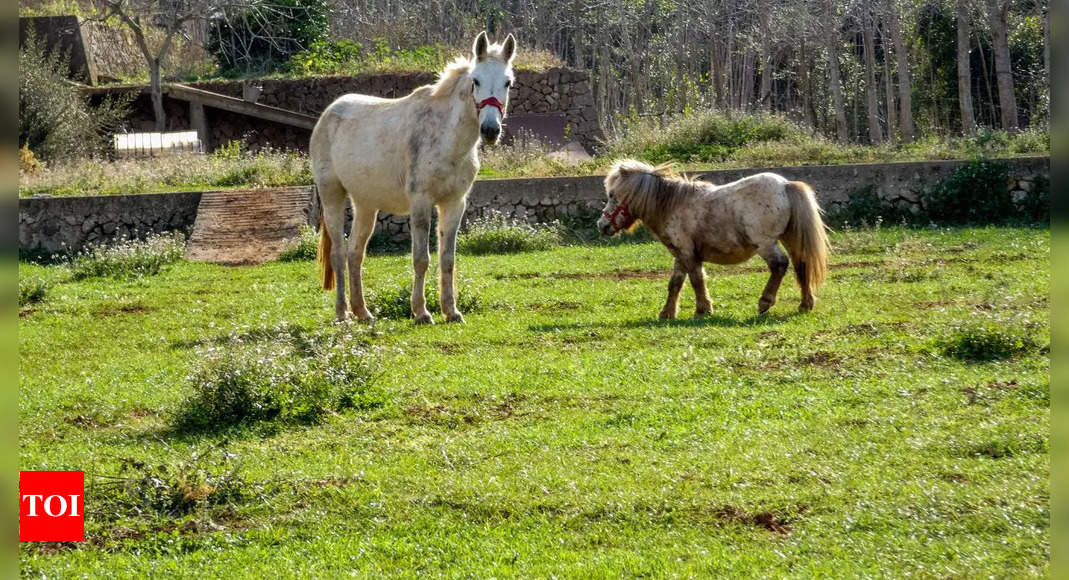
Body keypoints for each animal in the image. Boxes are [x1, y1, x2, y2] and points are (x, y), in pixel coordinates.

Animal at [312, 31, 515, 324]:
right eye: (475, 81)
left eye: (507, 83)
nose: (490, 130)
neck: (447, 138)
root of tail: (328, 113)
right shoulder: (421, 202)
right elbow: (421, 259)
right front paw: (421, 312)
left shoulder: (454, 204)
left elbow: (447, 258)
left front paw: (451, 311)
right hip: (332, 196)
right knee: (338, 253)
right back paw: (343, 313)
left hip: (365, 205)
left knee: (355, 254)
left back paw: (363, 312)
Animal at [598, 160, 829, 318]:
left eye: (612, 195)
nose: (602, 225)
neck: (672, 204)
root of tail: (785, 185)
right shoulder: (681, 255)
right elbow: (676, 283)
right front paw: (667, 313)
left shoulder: (687, 253)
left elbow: (696, 280)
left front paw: (703, 310)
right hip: (790, 239)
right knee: (802, 264)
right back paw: (805, 304)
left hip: (766, 243)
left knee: (780, 265)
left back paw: (765, 302)